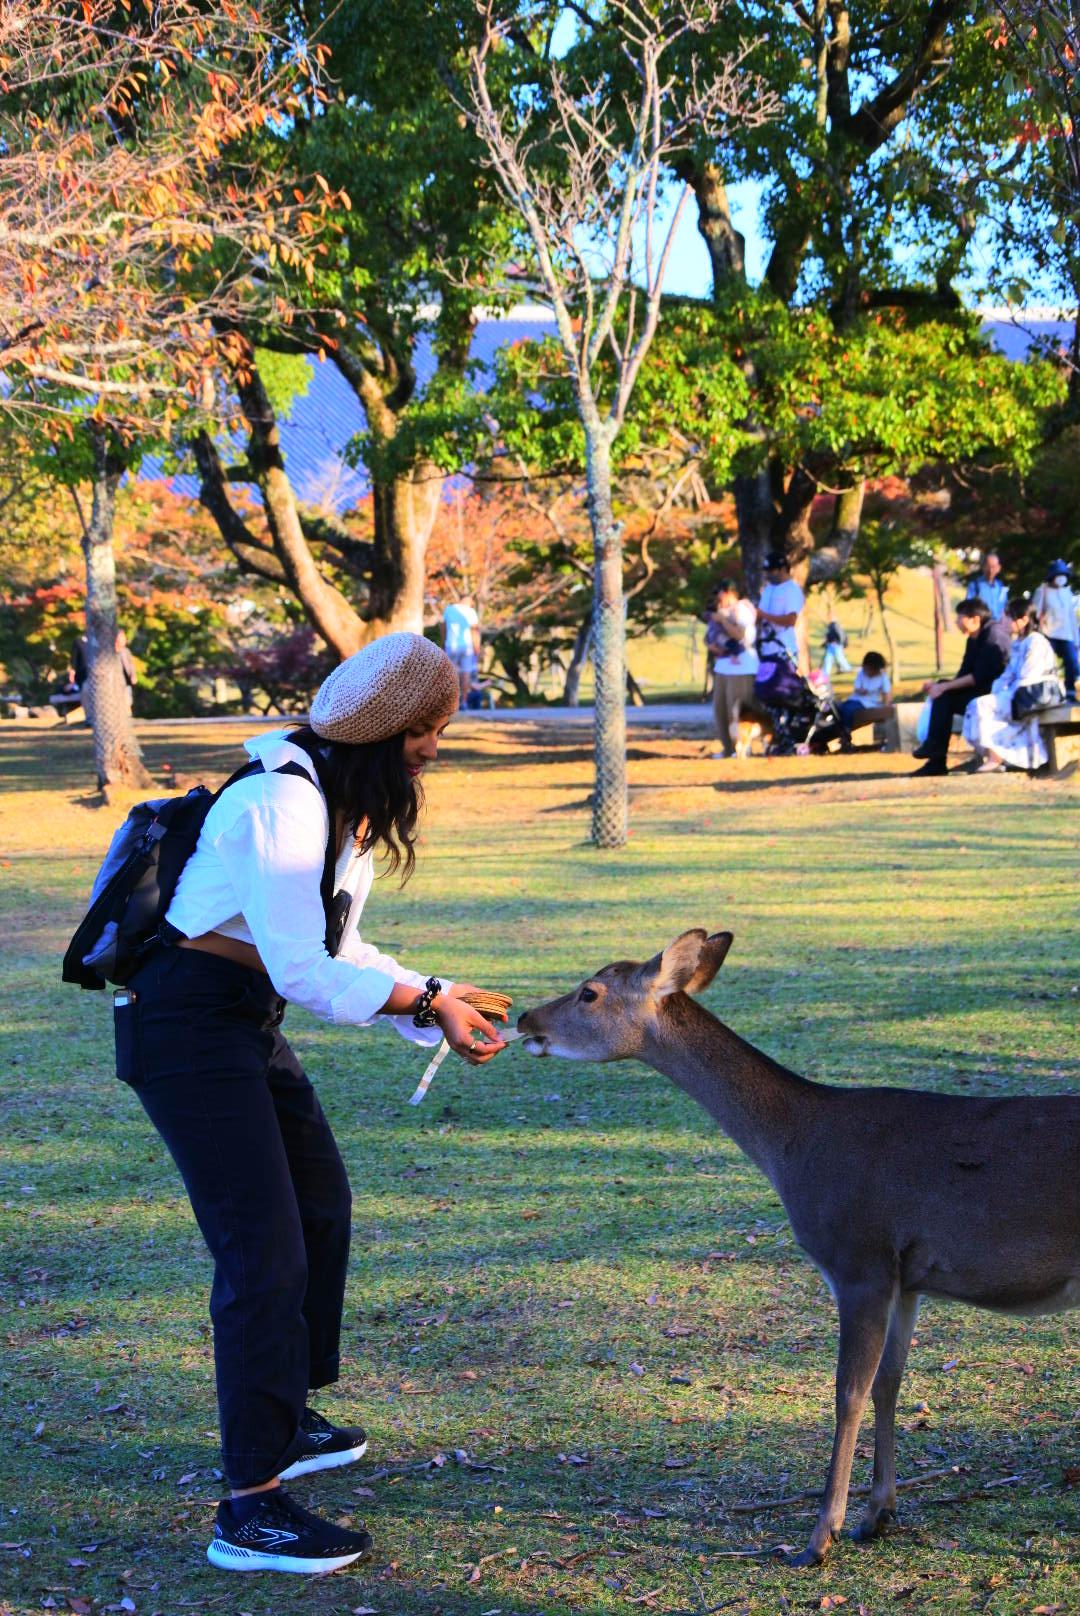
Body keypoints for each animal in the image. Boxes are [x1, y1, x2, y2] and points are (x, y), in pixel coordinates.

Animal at [517, 929, 1080, 1568]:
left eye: (589, 992)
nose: (525, 1017)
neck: (795, 1148)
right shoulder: (907, 1277)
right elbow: (889, 1381)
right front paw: (876, 1515)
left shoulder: (857, 1256)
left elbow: (847, 1391)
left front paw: (819, 1537)